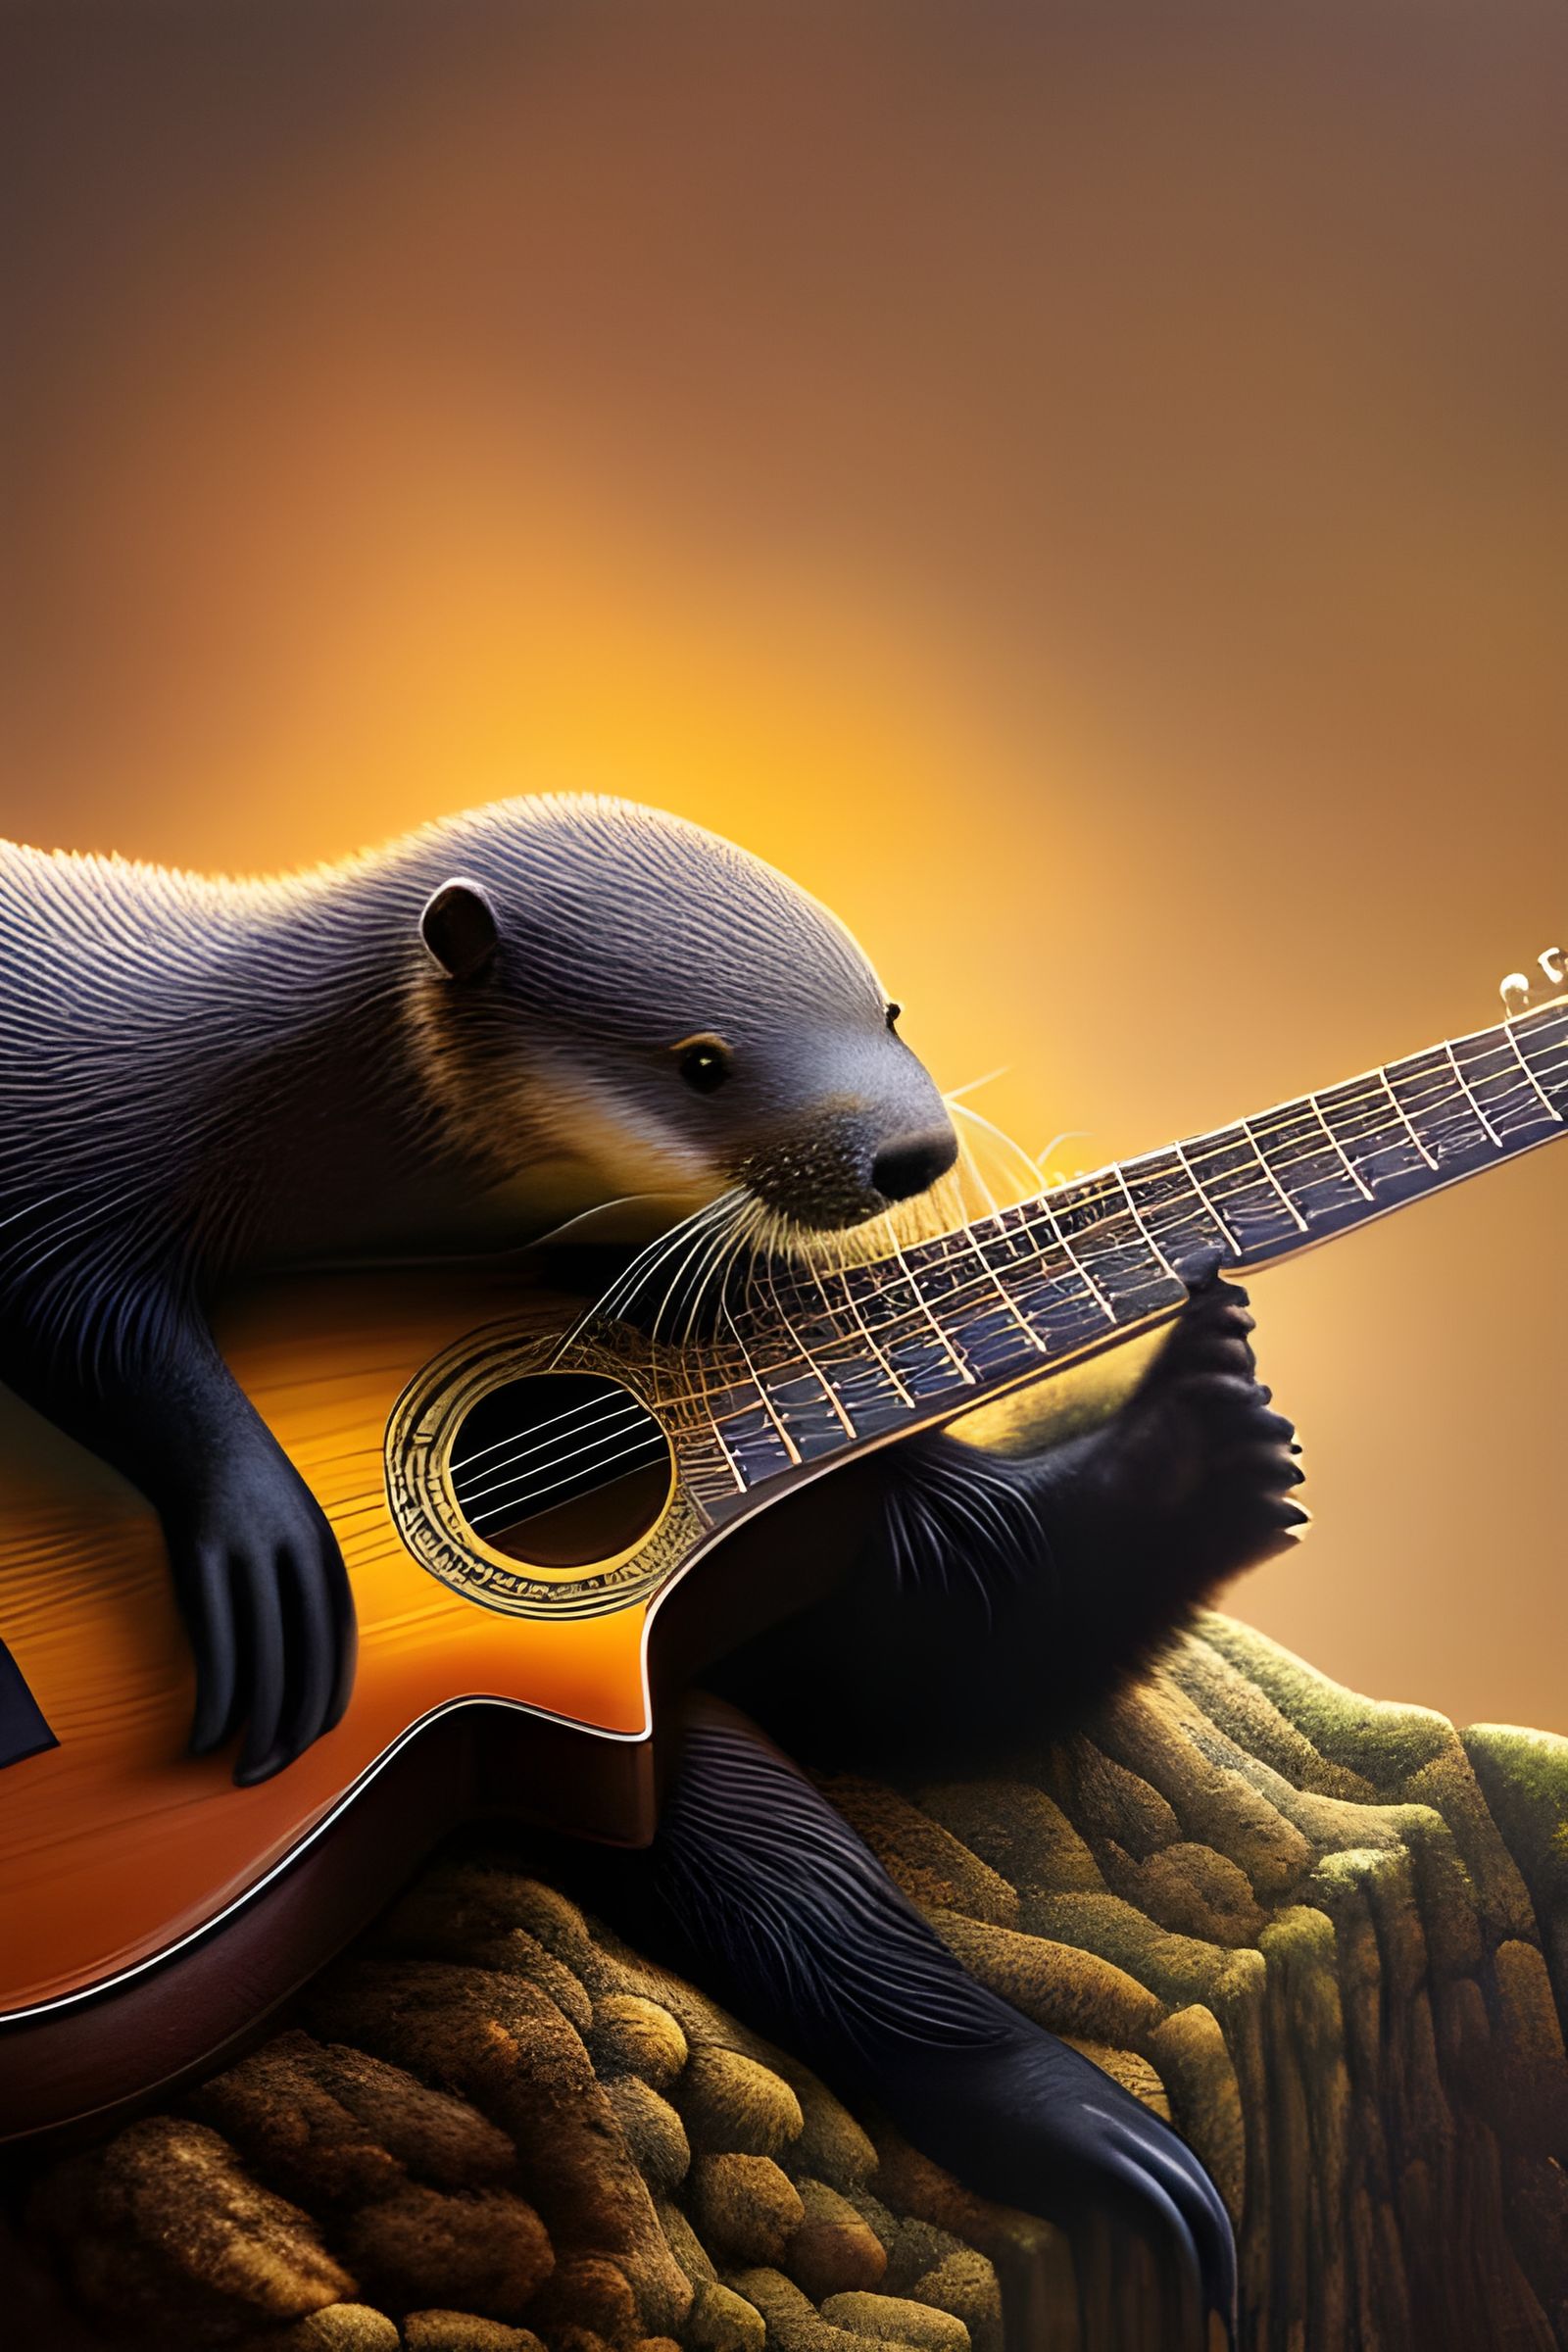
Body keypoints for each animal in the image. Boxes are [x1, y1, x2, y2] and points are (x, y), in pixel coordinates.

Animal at [0, 795, 1300, 2337]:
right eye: (701, 1062)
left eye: (887, 1007)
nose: (914, 1153)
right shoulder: (92, 1109)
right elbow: (73, 1290)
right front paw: (264, 1539)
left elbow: (866, 1727)